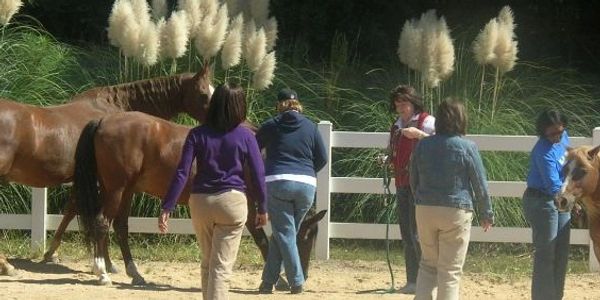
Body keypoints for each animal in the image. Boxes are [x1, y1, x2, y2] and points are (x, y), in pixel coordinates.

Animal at [74, 112, 328, 286]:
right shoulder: (247, 205)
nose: (305, 275)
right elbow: (261, 240)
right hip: (117, 189)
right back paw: (102, 272)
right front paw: (279, 282)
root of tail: (103, 120)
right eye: (306, 237)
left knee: (119, 227)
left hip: (125, 190)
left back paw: (132, 272)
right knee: (102, 223)